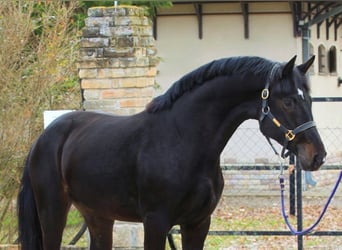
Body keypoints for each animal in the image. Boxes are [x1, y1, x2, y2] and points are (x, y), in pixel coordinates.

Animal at [18, 55, 326, 249]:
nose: (317, 156)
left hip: (97, 216)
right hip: (53, 212)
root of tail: (43, 138)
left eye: (309, 99)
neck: (183, 141)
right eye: (288, 101)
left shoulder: (197, 223)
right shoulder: (156, 223)